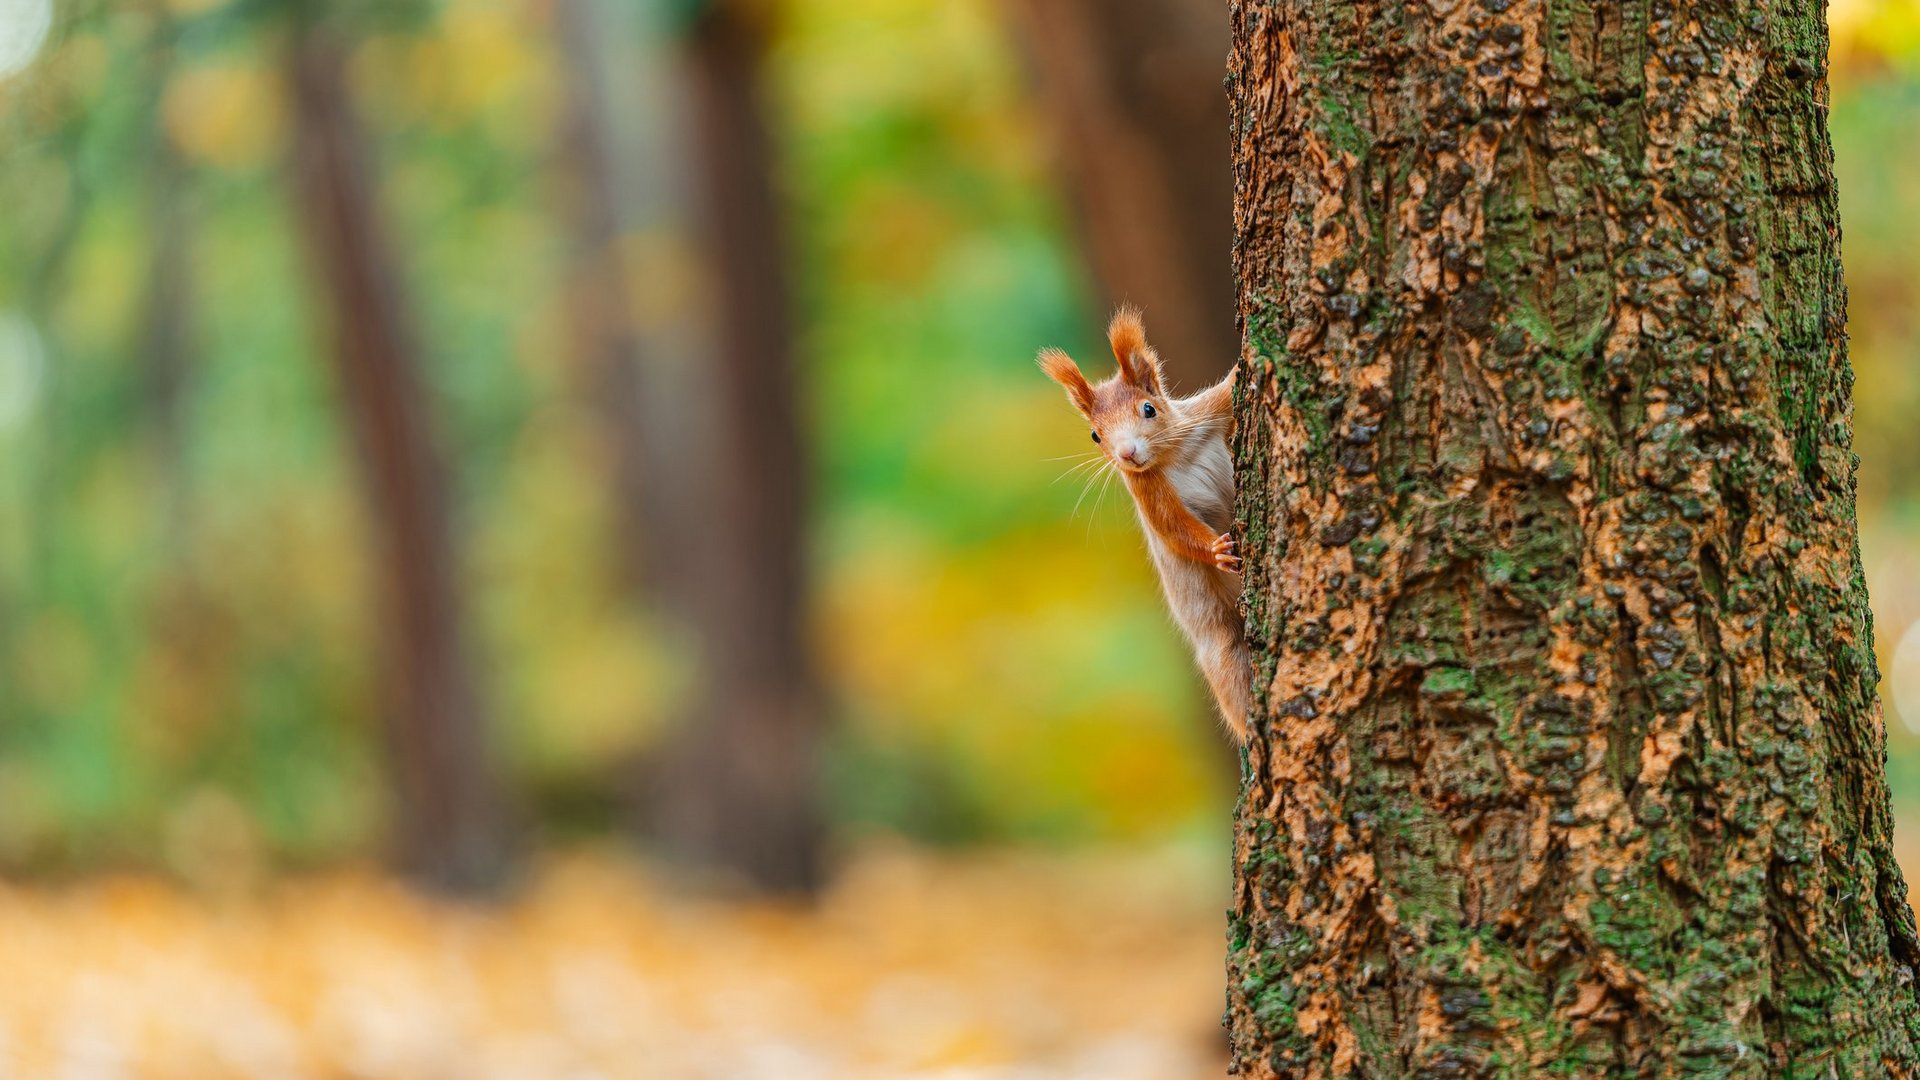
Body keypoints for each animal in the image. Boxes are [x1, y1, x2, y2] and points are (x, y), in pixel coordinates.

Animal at [1044, 303, 1251, 737]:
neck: (1174, 452)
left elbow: (1226, 393)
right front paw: (1217, 550)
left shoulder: (1206, 413)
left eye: (1149, 409)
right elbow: (1174, 530)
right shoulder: (1148, 493)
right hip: (1221, 646)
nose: (1127, 454)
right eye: (1095, 435)